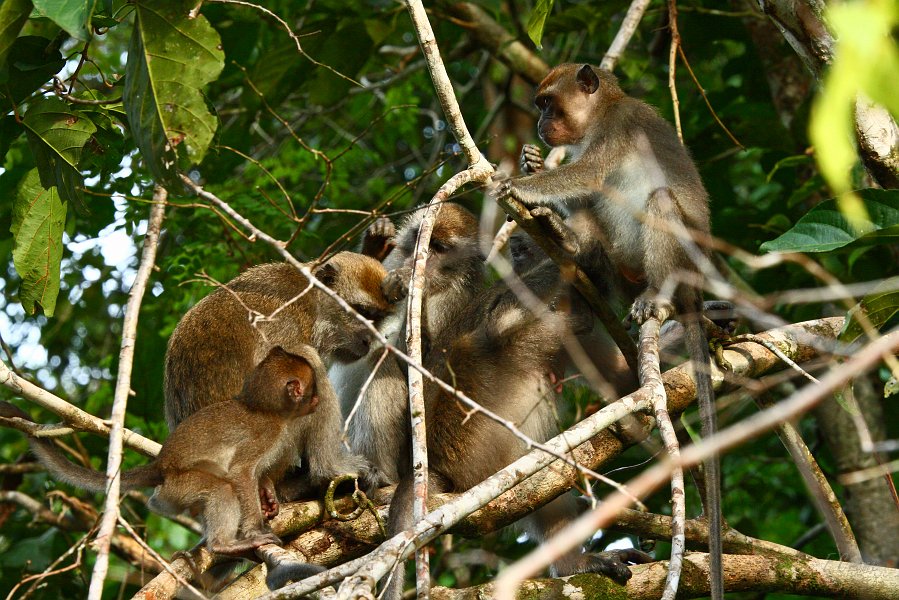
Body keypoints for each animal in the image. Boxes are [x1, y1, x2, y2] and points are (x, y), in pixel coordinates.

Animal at [3, 346, 326, 556]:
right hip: (178, 488)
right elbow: (240, 473)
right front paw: (255, 528)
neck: (266, 410)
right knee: (221, 488)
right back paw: (223, 544)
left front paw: (267, 492)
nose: (317, 401)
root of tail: (160, 465)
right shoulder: (265, 433)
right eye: (313, 390)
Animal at [330, 203, 488, 488]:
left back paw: (380, 475)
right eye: (420, 238)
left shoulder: (457, 302)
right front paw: (376, 243)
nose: (417, 260)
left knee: (382, 362)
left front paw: (414, 283)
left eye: (439, 248)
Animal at [500, 63, 724, 600]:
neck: (603, 109)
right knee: (594, 217)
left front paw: (521, 185)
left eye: (546, 103)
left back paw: (658, 297)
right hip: (622, 268)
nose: (540, 125)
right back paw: (569, 242)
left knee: (659, 201)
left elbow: (587, 173)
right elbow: (584, 189)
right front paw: (532, 165)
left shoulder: (616, 129)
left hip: (679, 262)